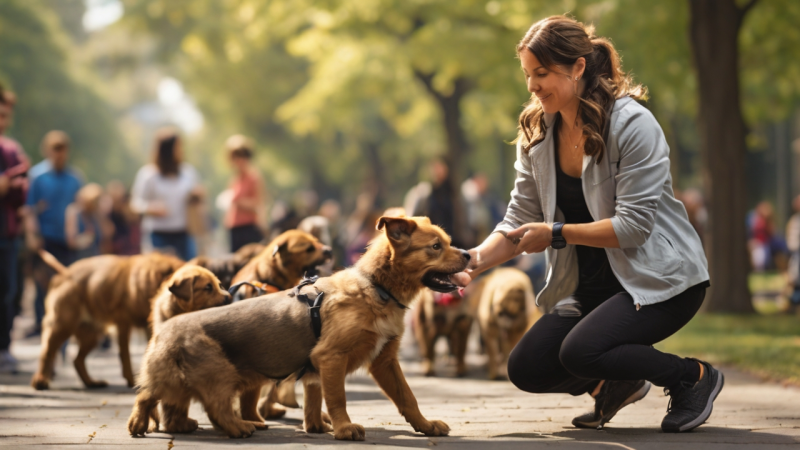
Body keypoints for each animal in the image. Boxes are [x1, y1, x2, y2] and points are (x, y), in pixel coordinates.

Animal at [30, 253, 183, 390]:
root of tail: (64, 273)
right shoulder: (124, 323)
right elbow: (125, 354)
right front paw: (132, 381)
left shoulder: (148, 328)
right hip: (62, 327)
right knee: (47, 352)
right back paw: (41, 381)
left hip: (92, 335)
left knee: (77, 360)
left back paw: (91, 383)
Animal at [128, 216, 472, 442]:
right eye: (436, 246)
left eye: (448, 243)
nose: (470, 254)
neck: (376, 288)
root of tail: (165, 328)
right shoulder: (332, 357)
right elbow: (337, 398)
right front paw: (344, 429)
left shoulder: (383, 361)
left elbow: (406, 398)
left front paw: (425, 425)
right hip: (220, 373)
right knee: (214, 407)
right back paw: (239, 427)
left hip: (177, 379)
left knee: (149, 395)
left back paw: (142, 424)